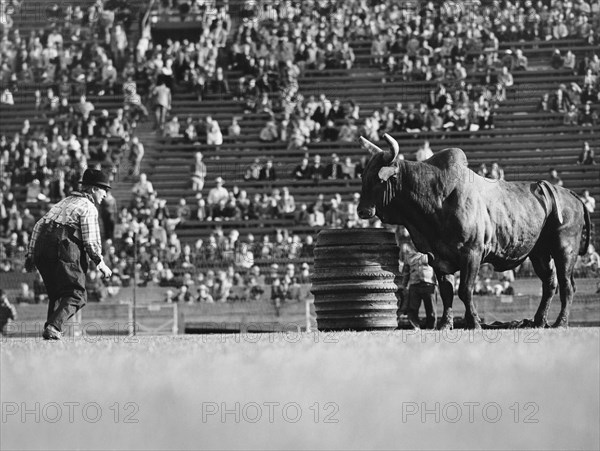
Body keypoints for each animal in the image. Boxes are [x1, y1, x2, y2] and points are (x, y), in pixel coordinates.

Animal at [358, 133, 592, 328]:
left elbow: (465, 290)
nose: (362, 210)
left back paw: (560, 322)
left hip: (564, 250)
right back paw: (538, 321)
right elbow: (447, 293)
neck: (436, 197)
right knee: (550, 284)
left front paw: (475, 323)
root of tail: (572, 196)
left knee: (567, 286)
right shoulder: (438, 258)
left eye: (378, 179)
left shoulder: (472, 253)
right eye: (363, 176)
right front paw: (445, 324)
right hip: (539, 253)